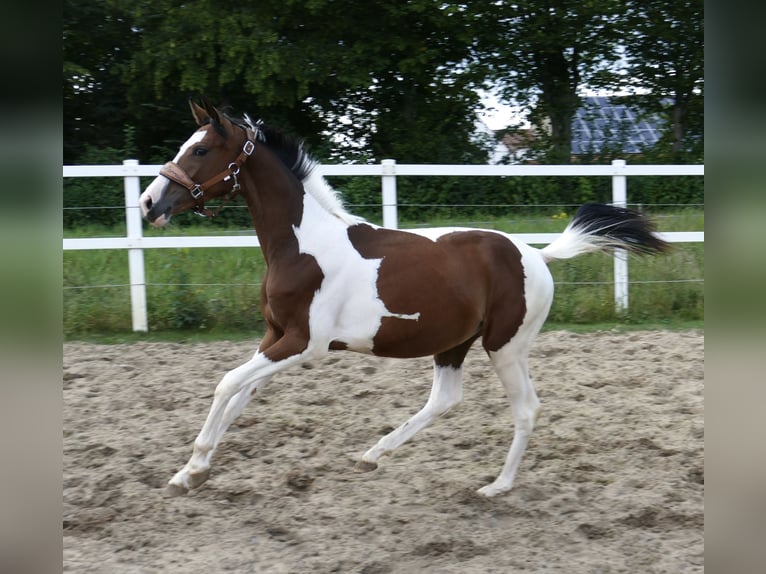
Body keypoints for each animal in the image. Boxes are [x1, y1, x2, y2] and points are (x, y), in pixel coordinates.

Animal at [140, 98, 668, 498]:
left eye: (201, 149)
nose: (148, 203)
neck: (303, 246)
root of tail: (536, 255)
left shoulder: (304, 344)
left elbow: (226, 384)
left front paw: (192, 468)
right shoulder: (275, 337)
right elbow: (241, 395)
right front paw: (190, 474)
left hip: (505, 346)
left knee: (526, 409)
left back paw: (496, 486)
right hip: (455, 343)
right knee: (445, 399)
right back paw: (374, 454)